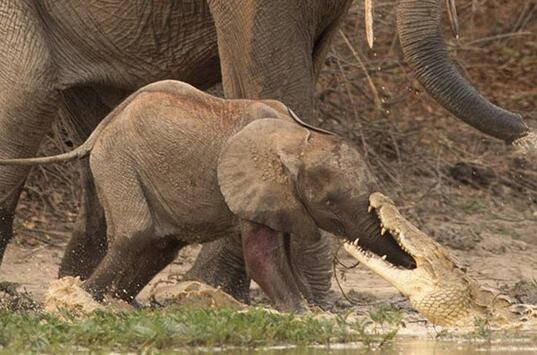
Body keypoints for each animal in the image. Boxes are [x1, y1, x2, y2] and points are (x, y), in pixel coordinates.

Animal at [0, 80, 414, 312]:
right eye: (330, 202)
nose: (415, 264)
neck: (297, 137)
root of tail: (101, 129)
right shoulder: (251, 184)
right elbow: (262, 257)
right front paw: (304, 312)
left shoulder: (278, 197)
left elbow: (279, 251)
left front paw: (310, 310)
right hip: (118, 162)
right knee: (134, 235)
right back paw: (81, 300)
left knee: (159, 244)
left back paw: (114, 302)